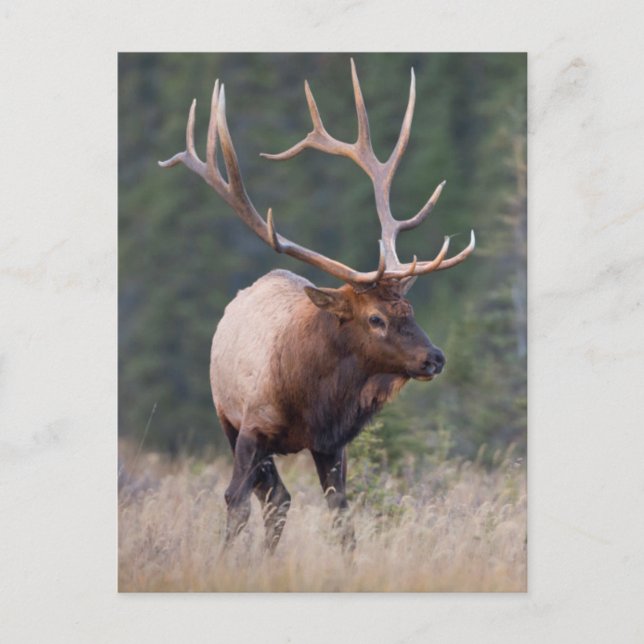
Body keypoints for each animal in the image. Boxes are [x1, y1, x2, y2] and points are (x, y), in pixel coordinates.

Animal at [159, 59, 474, 551]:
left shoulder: (332, 443)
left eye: (410, 311)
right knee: (270, 498)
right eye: (376, 317)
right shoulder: (250, 428)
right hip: (226, 418)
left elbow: (341, 517)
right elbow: (234, 502)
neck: (310, 397)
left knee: (280, 499)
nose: (435, 358)